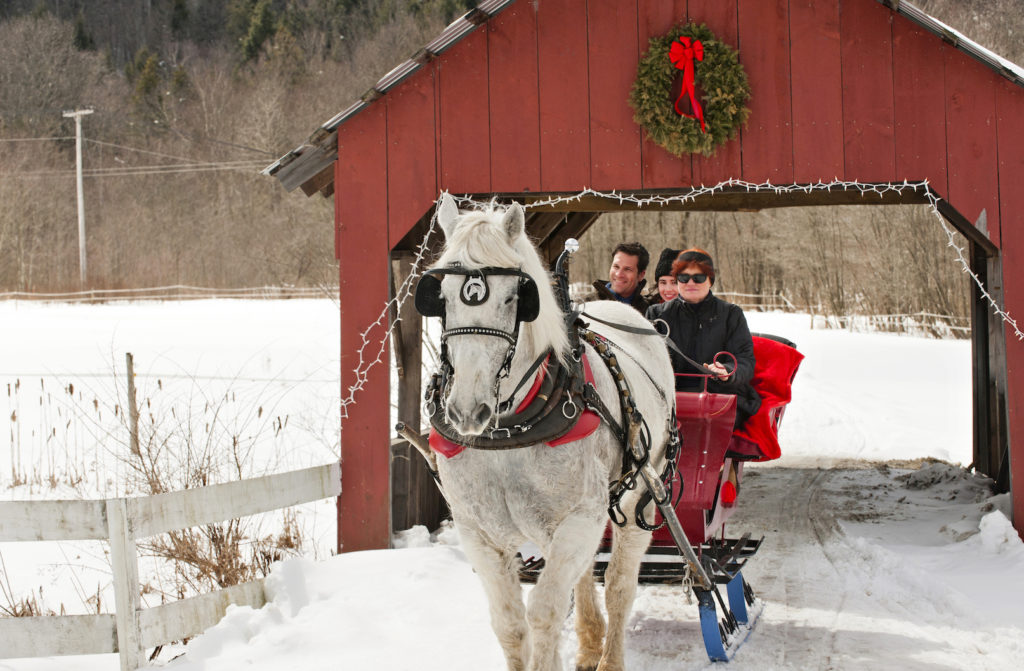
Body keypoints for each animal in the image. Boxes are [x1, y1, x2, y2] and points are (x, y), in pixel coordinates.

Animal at [421, 191, 671, 667]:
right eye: (440, 296)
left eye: (512, 298)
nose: (467, 410)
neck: (509, 431)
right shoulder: (479, 534)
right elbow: (510, 624)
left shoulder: (579, 518)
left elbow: (544, 612)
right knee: (587, 573)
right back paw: (590, 643)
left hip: (639, 493)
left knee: (618, 584)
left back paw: (609, 656)